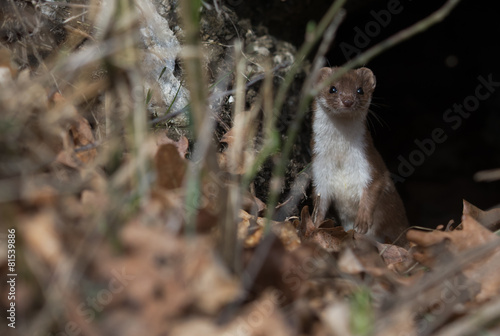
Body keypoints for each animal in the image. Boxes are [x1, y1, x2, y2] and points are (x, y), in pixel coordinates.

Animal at [312, 67, 410, 245]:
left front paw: (362, 222)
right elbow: (319, 202)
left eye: (360, 90)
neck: (340, 157)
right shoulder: (319, 169)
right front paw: (314, 224)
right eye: (332, 88)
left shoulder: (369, 163)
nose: (348, 100)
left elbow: (374, 188)